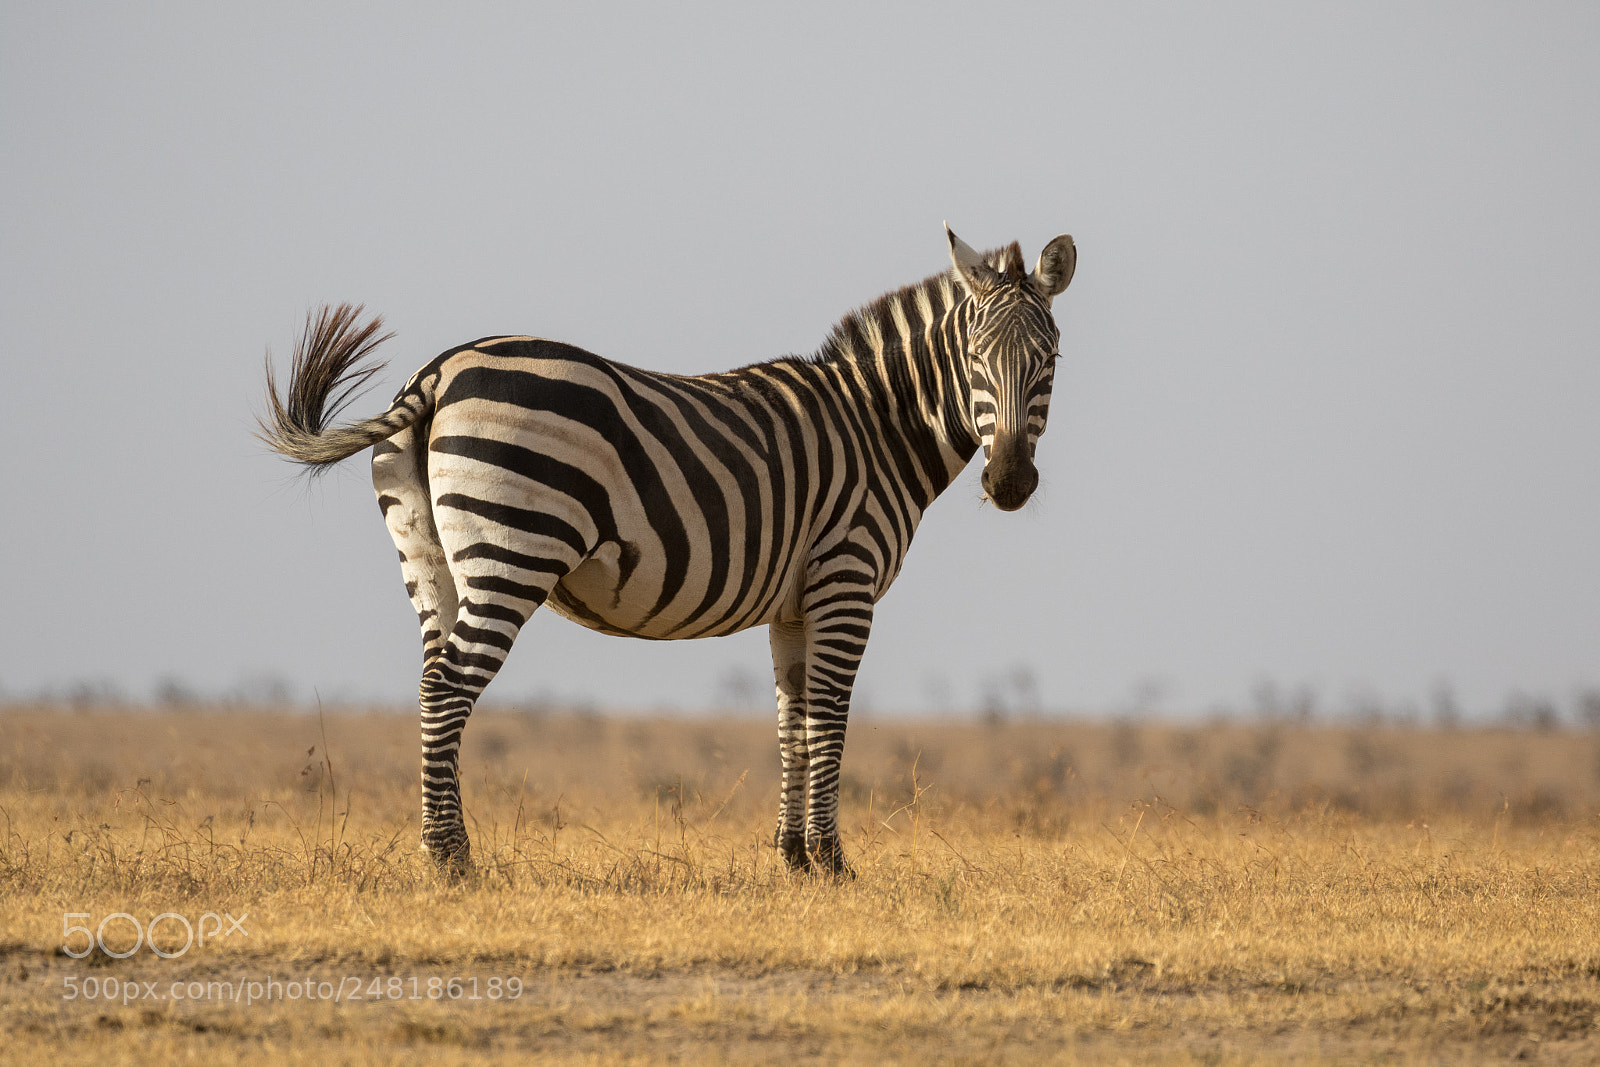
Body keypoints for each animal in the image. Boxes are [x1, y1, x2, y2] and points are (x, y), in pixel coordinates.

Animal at [258, 224, 1076, 876]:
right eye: (975, 358)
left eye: (1051, 358)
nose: (1009, 481)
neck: (878, 425)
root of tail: (437, 372)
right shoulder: (845, 580)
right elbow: (830, 720)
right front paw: (834, 862)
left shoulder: (794, 604)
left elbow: (792, 722)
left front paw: (794, 859)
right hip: (511, 553)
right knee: (449, 686)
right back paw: (452, 859)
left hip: (429, 560)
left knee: (432, 681)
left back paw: (441, 846)